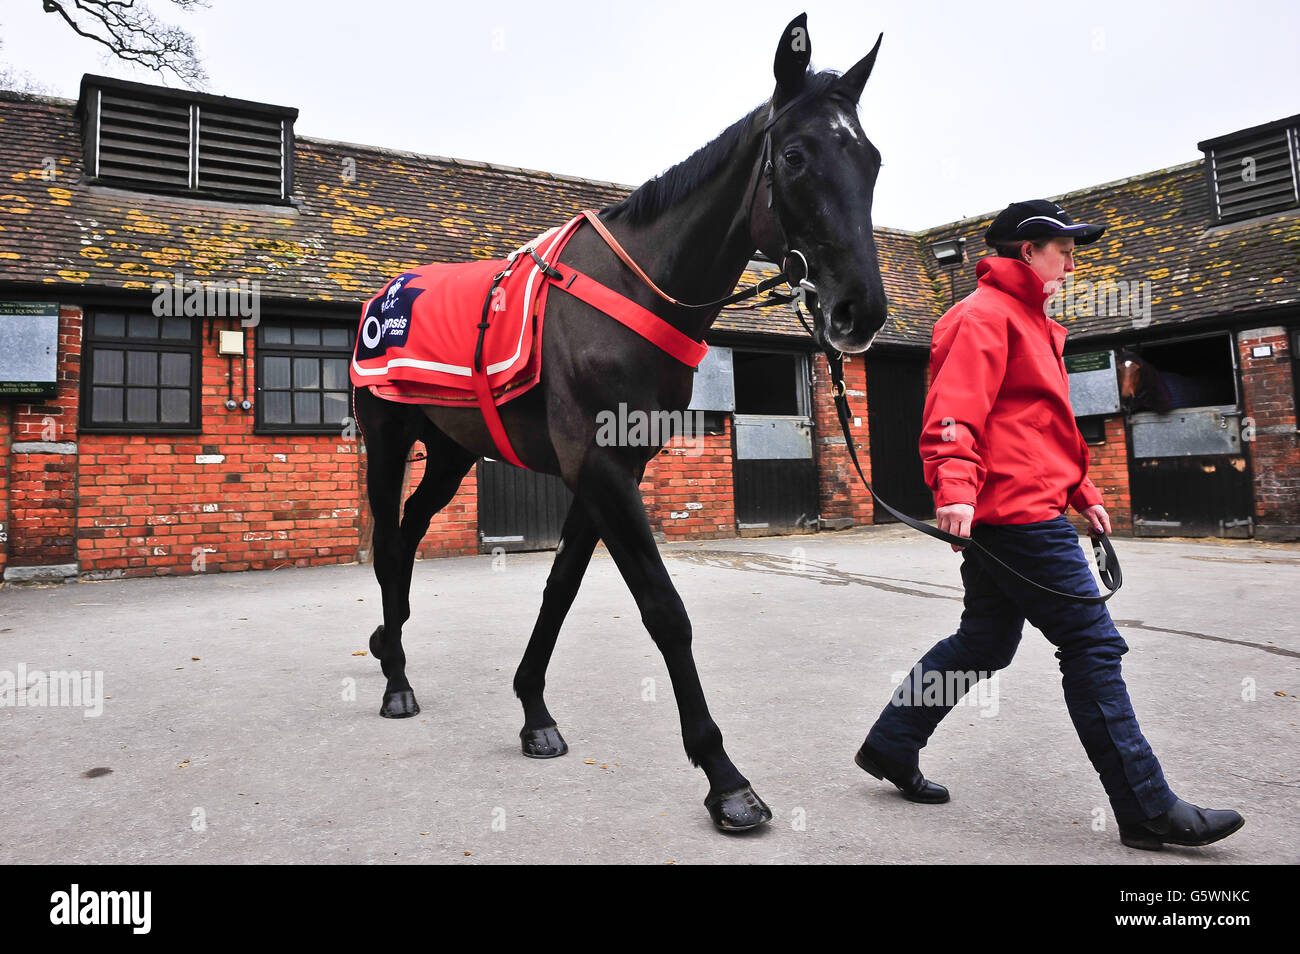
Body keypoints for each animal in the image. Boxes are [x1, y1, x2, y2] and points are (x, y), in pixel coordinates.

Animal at [351, 16, 889, 837]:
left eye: (872, 159)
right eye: (796, 156)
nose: (859, 311)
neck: (631, 292)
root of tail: (385, 295)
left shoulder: (613, 469)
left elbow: (561, 589)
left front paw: (534, 711)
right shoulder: (598, 470)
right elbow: (665, 613)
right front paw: (725, 778)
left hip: (449, 451)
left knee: (410, 532)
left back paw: (393, 644)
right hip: (386, 438)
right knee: (387, 539)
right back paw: (394, 683)